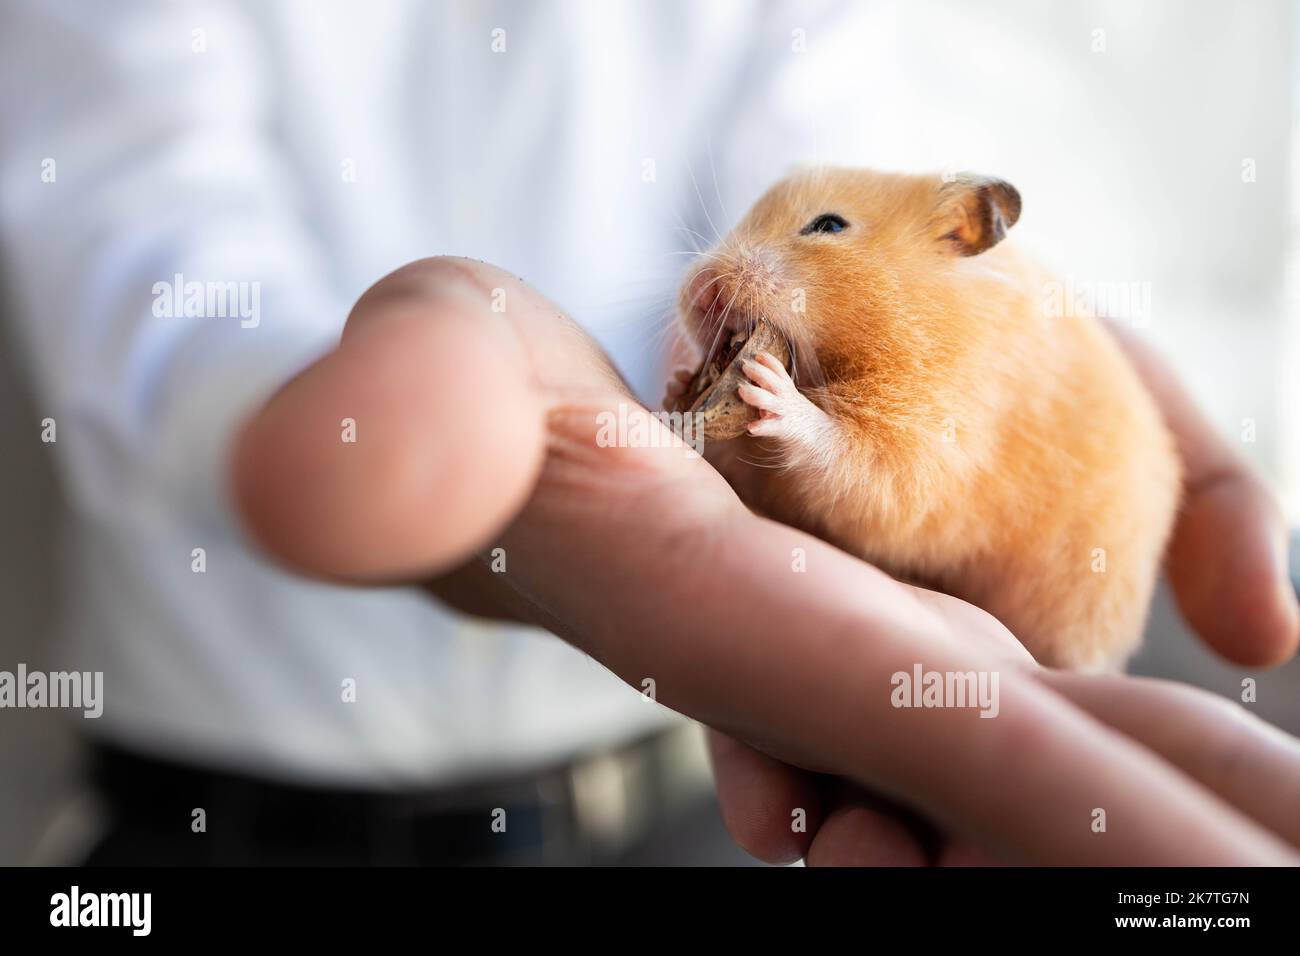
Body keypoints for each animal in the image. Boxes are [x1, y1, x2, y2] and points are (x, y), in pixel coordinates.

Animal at [667, 168, 1181, 671]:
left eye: (830, 225)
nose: (699, 290)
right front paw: (677, 385)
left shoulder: (931, 436)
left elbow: (853, 456)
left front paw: (771, 386)